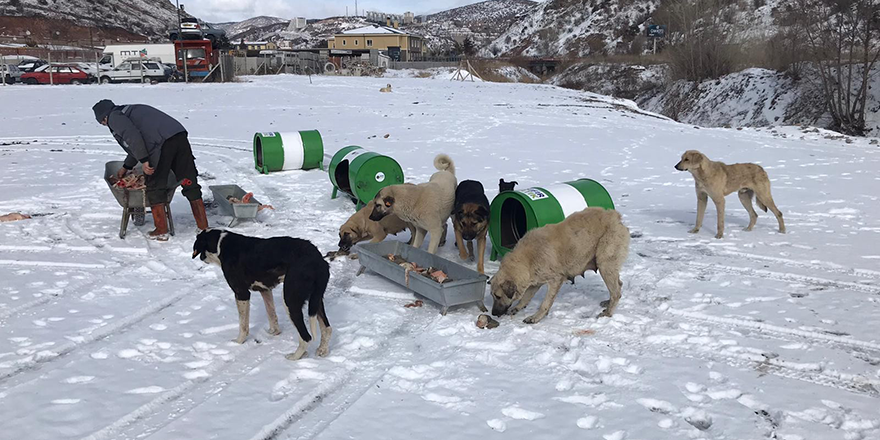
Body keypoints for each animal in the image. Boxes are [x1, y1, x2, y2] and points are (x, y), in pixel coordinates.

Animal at [192, 229, 330, 360]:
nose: (200, 258)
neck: (220, 244)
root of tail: (319, 260)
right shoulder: (265, 290)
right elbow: (271, 314)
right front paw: (274, 332)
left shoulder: (241, 294)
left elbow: (243, 325)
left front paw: (238, 342)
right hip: (316, 300)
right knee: (327, 328)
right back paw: (323, 350)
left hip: (290, 300)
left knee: (306, 336)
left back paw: (295, 357)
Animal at [492, 206, 628, 324]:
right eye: (492, 296)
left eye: (498, 296)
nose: (493, 313)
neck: (526, 260)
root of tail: (616, 217)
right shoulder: (535, 281)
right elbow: (526, 296)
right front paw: (517, 307)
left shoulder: (555, 280)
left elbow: (545, 303)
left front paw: (535, 317)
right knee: (619, 285)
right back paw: (608, 302)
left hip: (605, 264)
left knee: (616, 292)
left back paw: (608, 312)